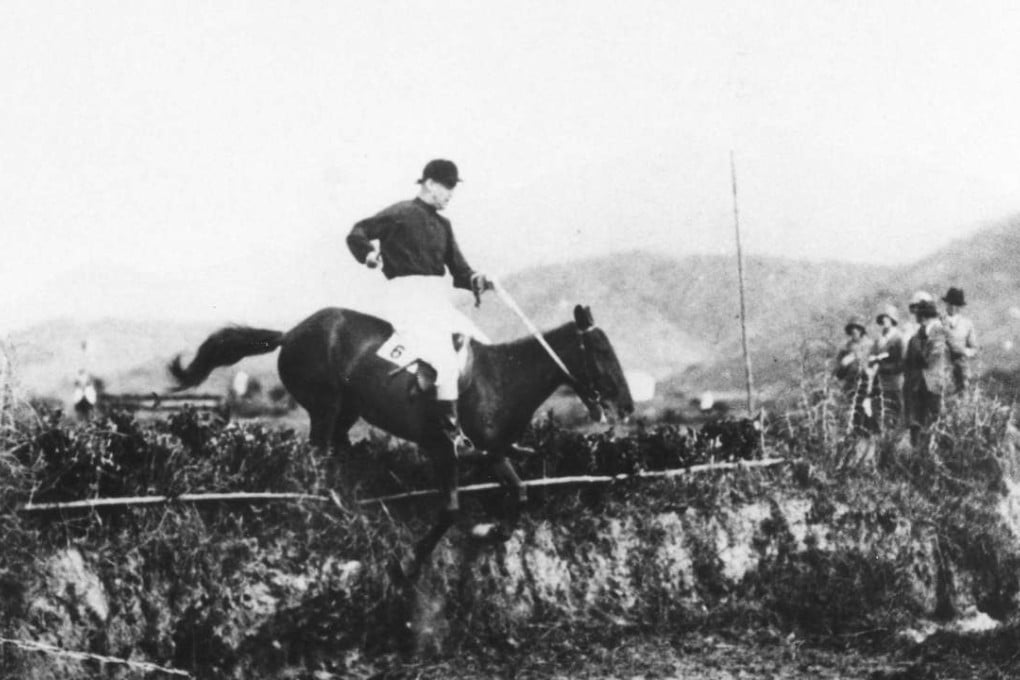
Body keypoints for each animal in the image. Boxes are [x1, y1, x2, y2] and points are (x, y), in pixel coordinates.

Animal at [169, 304, 633, 578]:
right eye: (601, 352)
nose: (626, 406)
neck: (501, 378)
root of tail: (293, 331)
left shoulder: (490, 452)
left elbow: (518, 494)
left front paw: (493, 531)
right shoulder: (444, 450)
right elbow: (449, 510)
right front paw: (414, 559)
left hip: (347, 411)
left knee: (338, 451)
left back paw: (351, 494)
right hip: (325, 406)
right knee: (318, 456)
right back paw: (330, 502)